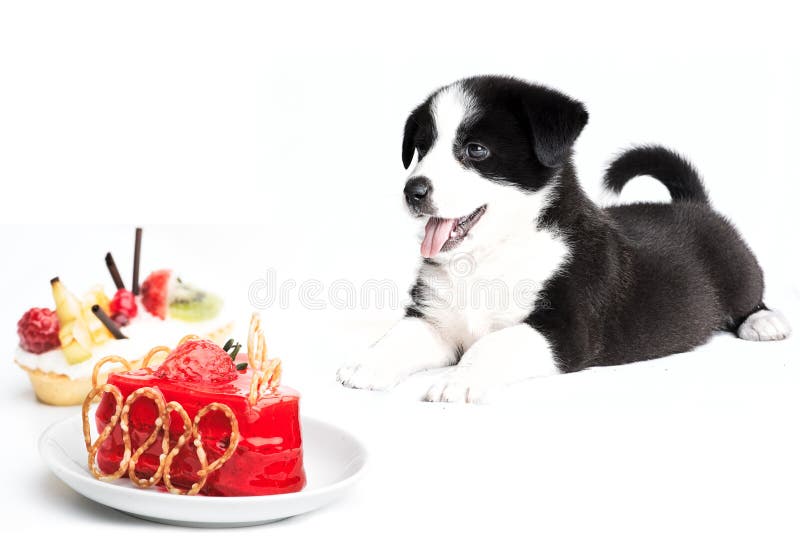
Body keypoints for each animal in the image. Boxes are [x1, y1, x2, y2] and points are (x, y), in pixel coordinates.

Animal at [334, 76, 792, 404]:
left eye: (476, 150)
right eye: (422, 148)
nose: (413, 191)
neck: (488, 257)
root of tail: (691, 202)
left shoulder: (565, 332)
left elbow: (494, 343)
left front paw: (456, 382)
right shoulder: (435, 321)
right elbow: (399, 336)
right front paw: (367, 365)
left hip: (738, 272)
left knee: (751, 296)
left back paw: (763, 321)